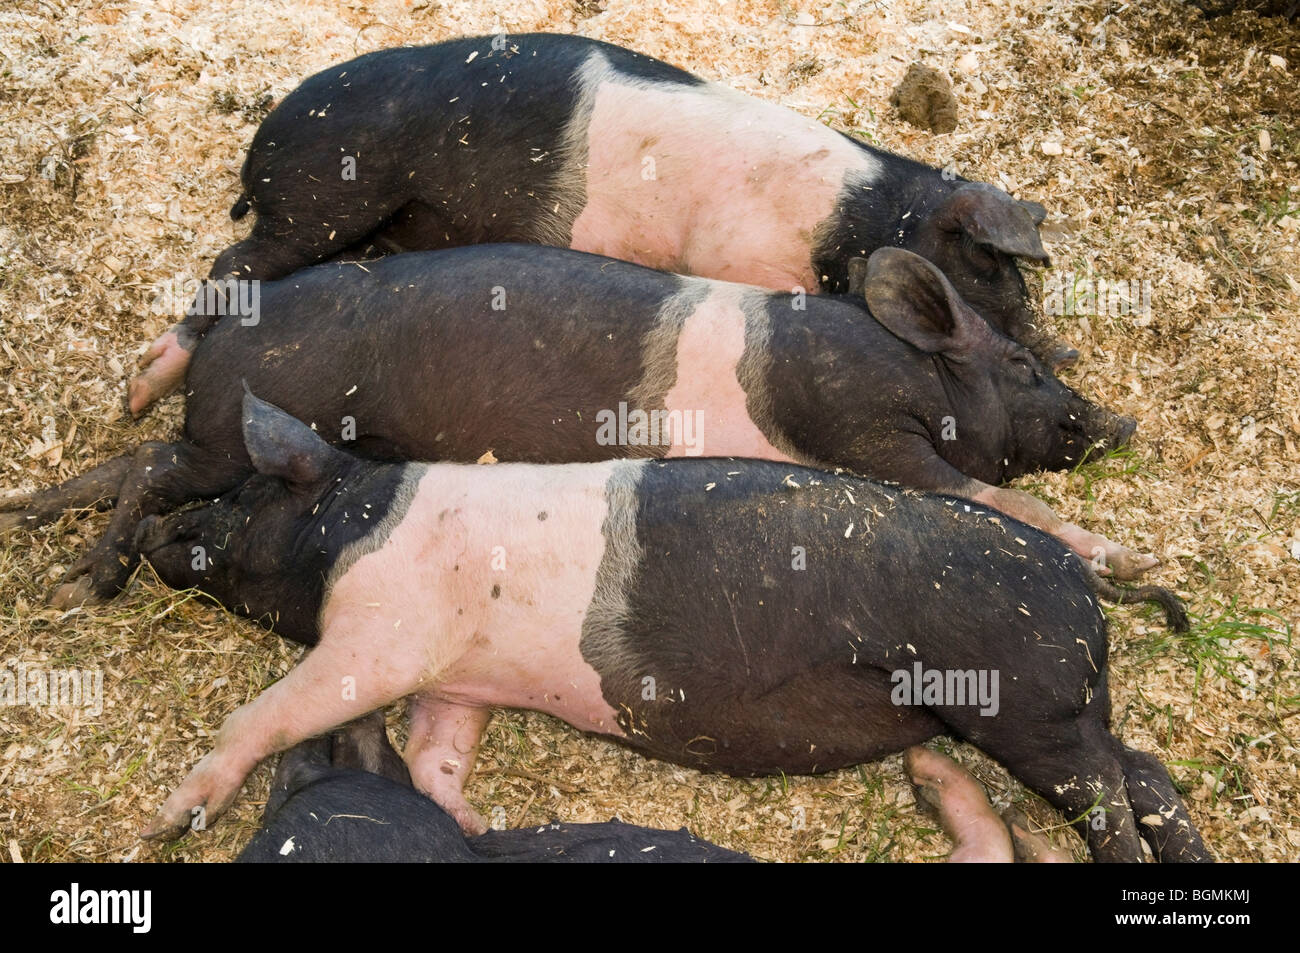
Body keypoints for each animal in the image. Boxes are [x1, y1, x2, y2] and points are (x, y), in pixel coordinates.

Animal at [0, 245, 1164, 611]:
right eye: (1021, 365)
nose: (1120, 418)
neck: (903, 363)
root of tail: (218, 335)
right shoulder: (862, 429)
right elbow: (985, 494)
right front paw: (1134, 563)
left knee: (126, 459)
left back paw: (36, 527)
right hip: (229, 433)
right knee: (156, 462)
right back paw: (84, 582)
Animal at [128, 32, 1075, 415]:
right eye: (992, 269)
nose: (1061, 353)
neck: (852, 221)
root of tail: (263, 139)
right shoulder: (739, 251)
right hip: (326, 193)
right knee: (231, 263)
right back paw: (144, 387)